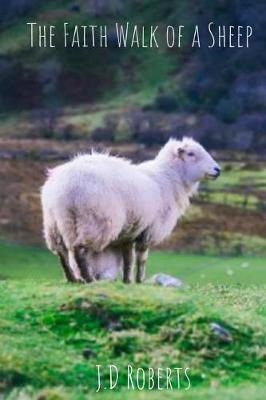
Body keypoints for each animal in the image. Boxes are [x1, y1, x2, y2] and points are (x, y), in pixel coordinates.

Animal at [41, 138, 220, 284]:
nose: (217, 169)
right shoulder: (150, 229)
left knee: (62, 252)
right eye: (191, 153)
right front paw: (140, 280)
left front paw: (128, 281)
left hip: (55, 223)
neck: (169, 179)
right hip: (95, 221)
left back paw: (72, 278)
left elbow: (128, 258)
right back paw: (89, 279)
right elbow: (142, 258)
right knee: (79, 250)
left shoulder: (129, 231)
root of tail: (66, 186)